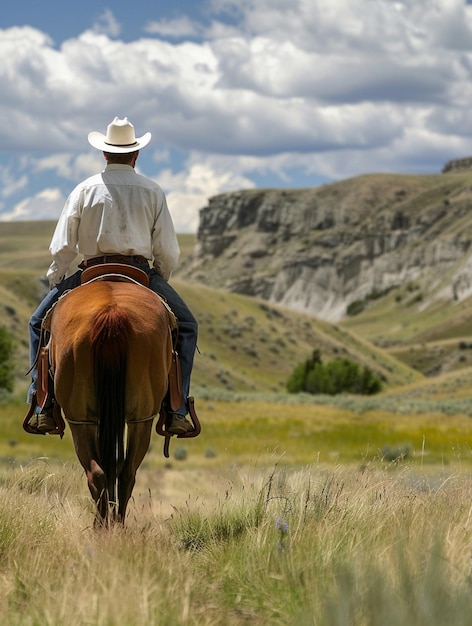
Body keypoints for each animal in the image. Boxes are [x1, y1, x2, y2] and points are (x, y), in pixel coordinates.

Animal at [48, 276, 173, 524]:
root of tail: (111, 313)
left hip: (83, 418)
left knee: (106, 472)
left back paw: (107, 525)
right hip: (137, 419)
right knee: (120, 472)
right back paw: (111, 524)